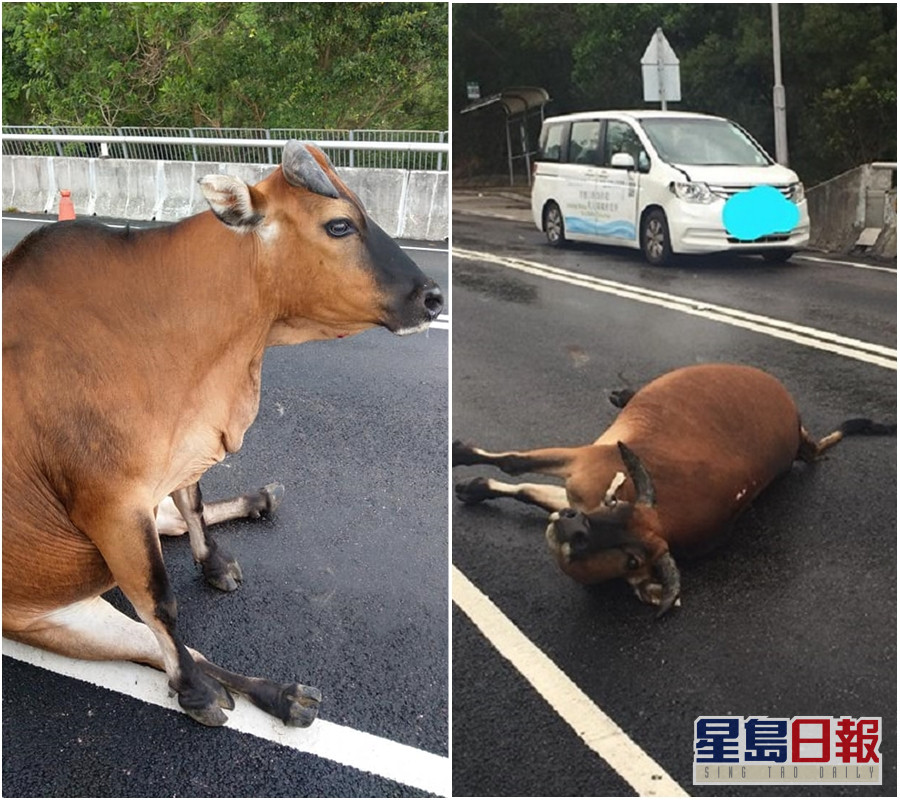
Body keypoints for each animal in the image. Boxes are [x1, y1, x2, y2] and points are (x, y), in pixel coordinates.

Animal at [2, 141, 442, 728]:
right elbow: (161, 603)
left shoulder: (183, 450)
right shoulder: (112, 505)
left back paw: (261, 508)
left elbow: (191, 504)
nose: (433, 298)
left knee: (171, 527)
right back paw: (262, 691)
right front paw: (196, 691)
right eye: (340, 225)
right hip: (50, 618)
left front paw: (214, 560)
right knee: (162, 646)